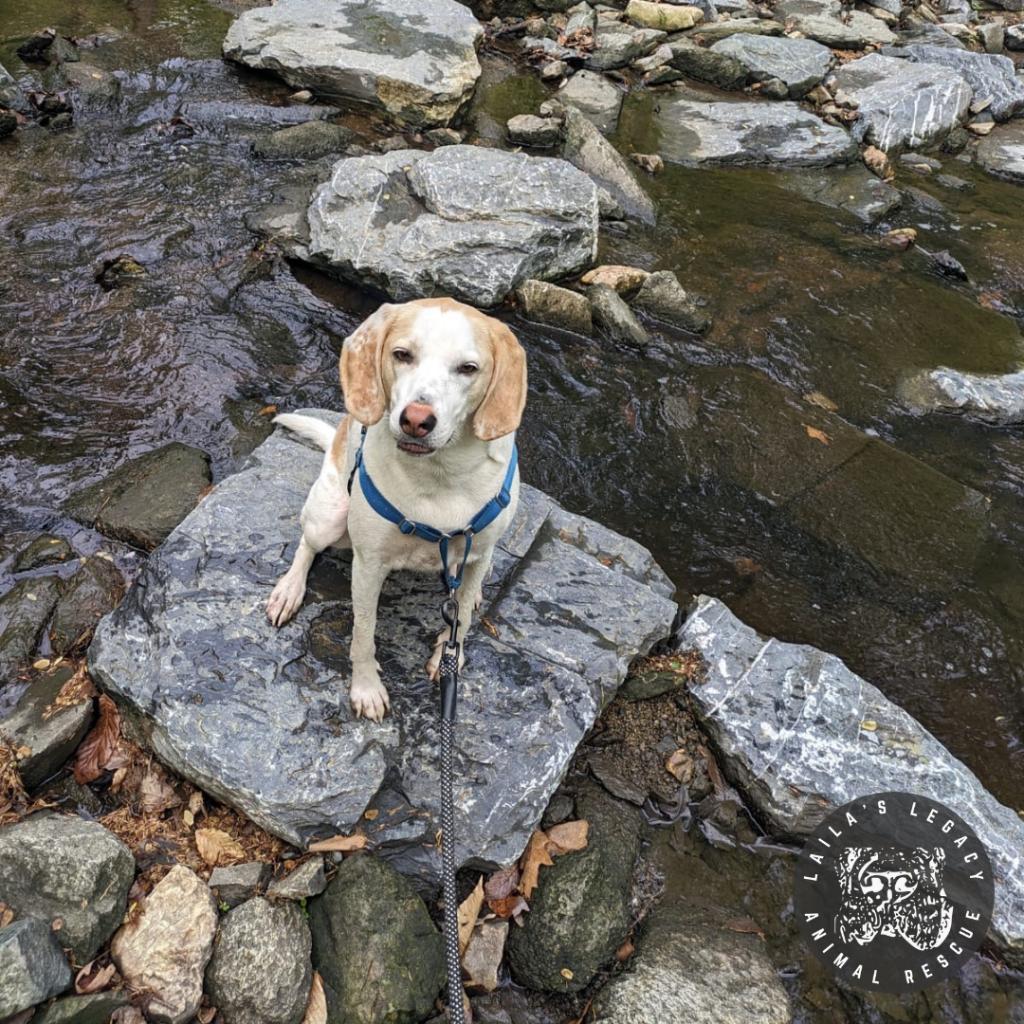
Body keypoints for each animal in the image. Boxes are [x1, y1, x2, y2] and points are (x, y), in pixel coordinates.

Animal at [264, 296, 528, 720]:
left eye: (468, 368)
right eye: (402, 354)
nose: (416, 420)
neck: (439, 476)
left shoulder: (479, 549)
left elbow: (463, 617)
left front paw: (449, 657)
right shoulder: (369, 565)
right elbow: (363, 633)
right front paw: (366, 689)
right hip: (329, 515)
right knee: (306, 546)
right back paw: (289, 590)